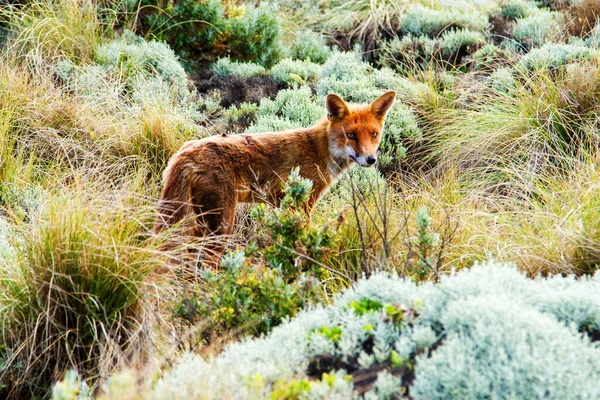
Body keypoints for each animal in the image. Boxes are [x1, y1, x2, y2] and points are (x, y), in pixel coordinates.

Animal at [155, 90, 396, 266]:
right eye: (351, 135)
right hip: (222, 226)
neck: (319, 151)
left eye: (374, 135)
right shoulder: (301, 206)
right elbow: (302, 246)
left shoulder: (279, 204)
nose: (370, 159)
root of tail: (184, 153)